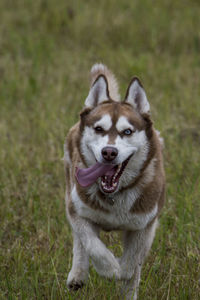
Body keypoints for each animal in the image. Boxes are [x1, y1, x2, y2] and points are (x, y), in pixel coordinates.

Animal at [64, 62, 166, 298]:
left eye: (127, 131)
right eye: (99, 129)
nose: (109, 152)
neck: (114, 196)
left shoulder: (145, 224)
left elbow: (134, 261)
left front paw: (124, 272)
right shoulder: (77, 209)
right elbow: (91, 244)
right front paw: (110, 268)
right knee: (79, 241)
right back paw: (78, 274)